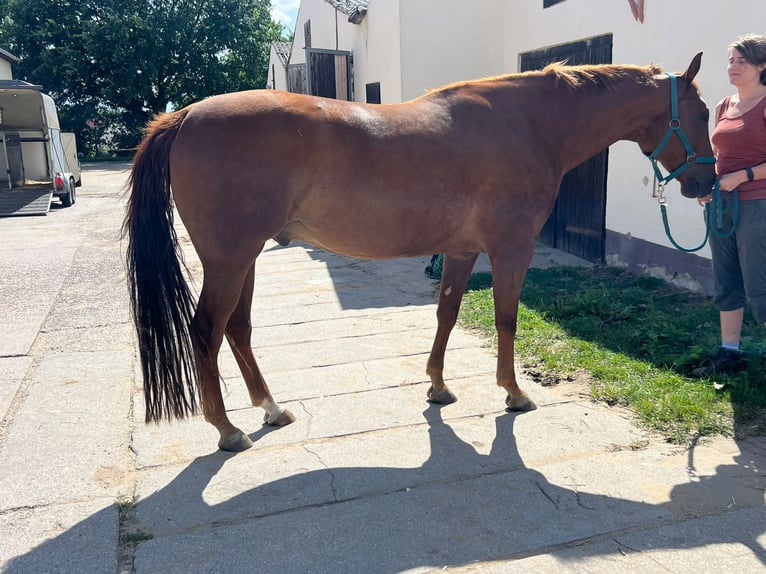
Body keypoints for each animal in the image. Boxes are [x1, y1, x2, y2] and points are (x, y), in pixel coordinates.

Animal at [123, 53, 716, 452]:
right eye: (704, 113)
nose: (706, 183)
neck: (527, 125)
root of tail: (184, 117)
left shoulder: (461, 251)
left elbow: (447, 313)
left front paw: (438, 386)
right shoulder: (511, 250)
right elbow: (505, 320)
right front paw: (513, 393)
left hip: (243, 259)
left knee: (237, 329)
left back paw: (271, 410)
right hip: (229, 260)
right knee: (206, 332)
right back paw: (227, 431)